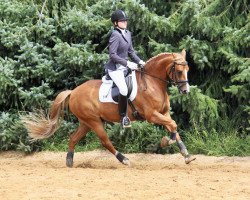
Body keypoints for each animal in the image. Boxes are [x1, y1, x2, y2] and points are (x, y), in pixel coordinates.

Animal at [22, 49, 195, 166]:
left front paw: (186, 155)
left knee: (73, 138)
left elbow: (173, 126)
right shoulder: (152, 115)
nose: (186, 91)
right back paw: (124, 159)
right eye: (179, 71)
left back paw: (69, 161)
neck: (152, 82)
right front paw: (167, 142)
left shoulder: (164, 113)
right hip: (94, 122)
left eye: (188, 70)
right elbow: (173, 125)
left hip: (86, 122)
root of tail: (74, 91)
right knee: (105, 141)